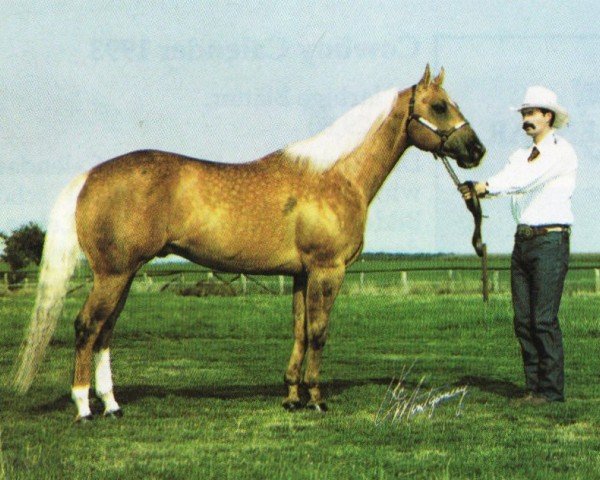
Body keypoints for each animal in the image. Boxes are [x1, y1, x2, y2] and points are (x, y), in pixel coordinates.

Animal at [12, 65, 482, 418]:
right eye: (439, 105)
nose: (477, 151)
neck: (334, 175)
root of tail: (91, 175)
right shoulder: (327, 270)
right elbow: (318, 332)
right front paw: (316, 399)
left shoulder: (300, 274)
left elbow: (298, 331)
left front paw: (291, 397)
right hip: (113, 274)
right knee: (87, 327)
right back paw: (85, 407)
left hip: (122, 275)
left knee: (105, 331)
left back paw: (112, 404)